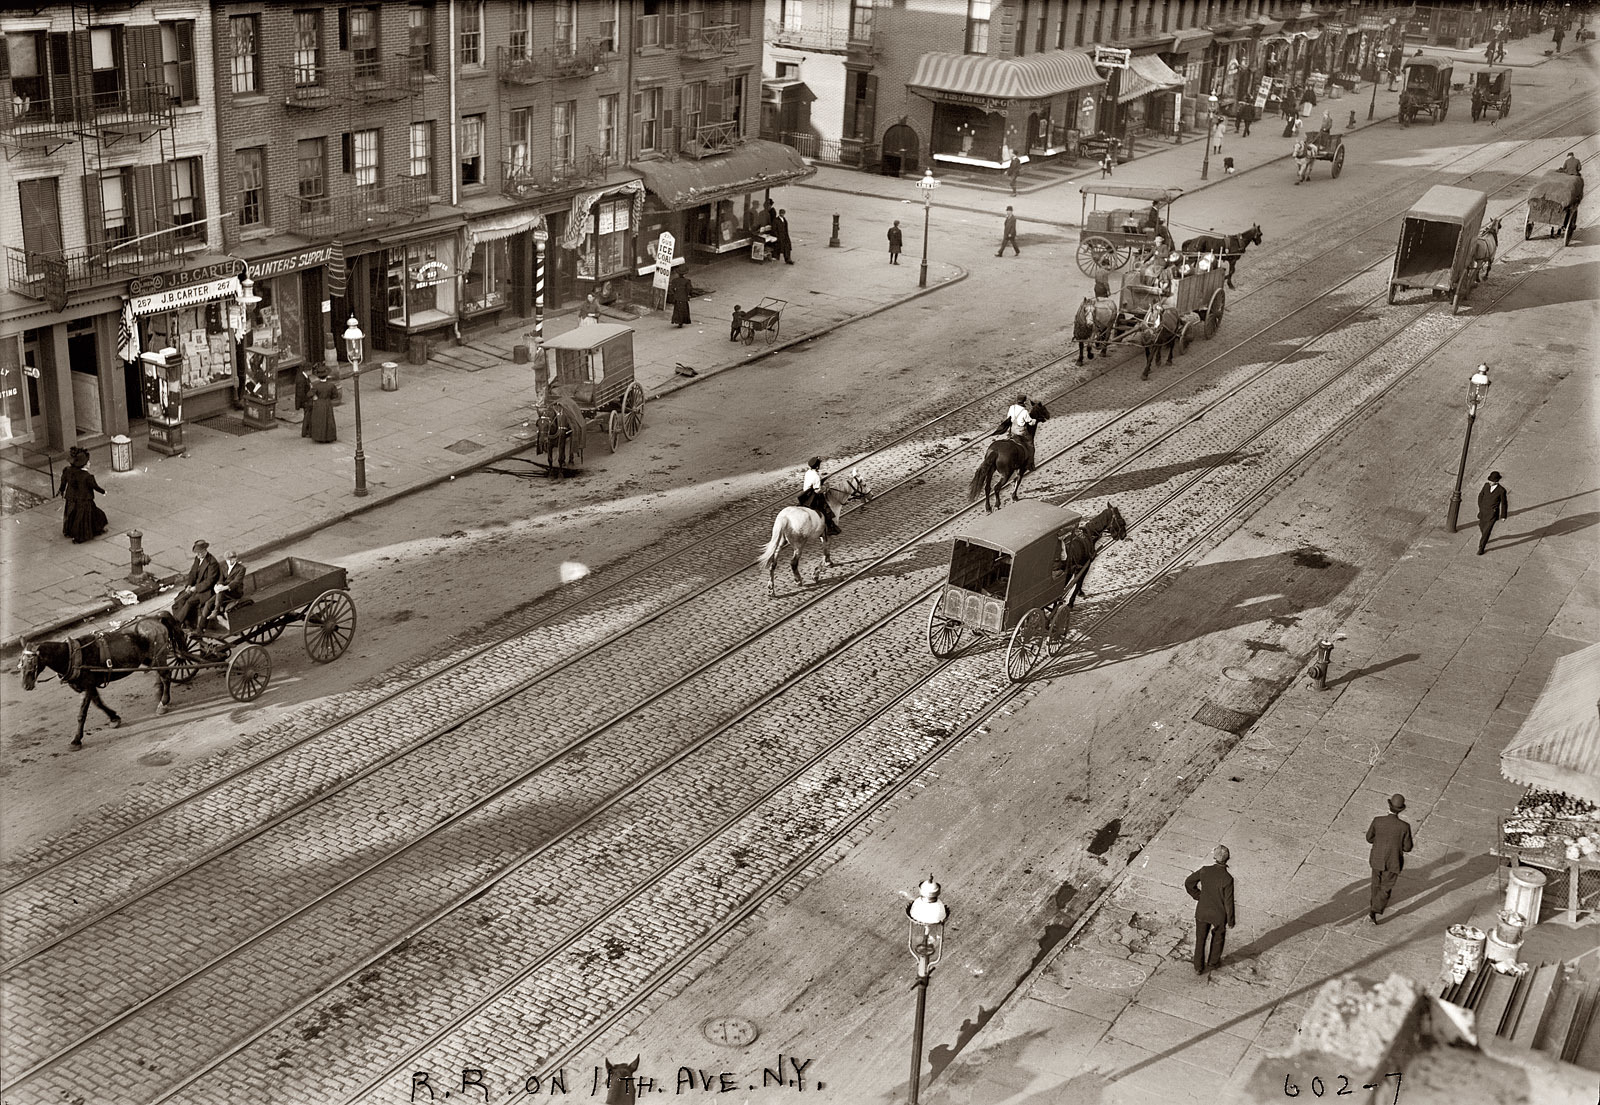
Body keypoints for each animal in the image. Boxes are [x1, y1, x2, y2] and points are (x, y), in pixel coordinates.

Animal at [18, 617, 184, 748]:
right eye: (20, 661)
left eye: (32, 661)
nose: (25, 685)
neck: (71, 655)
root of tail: (155, 619)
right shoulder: (89, 687)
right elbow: (98, 703)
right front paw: (114, 717)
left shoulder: (87, 686)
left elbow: (82, 714)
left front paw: (76, 740)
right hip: (151, 659)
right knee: (159, 673)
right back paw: (159, 692)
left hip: (158, 655)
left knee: (165, 675)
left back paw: (163, 702)